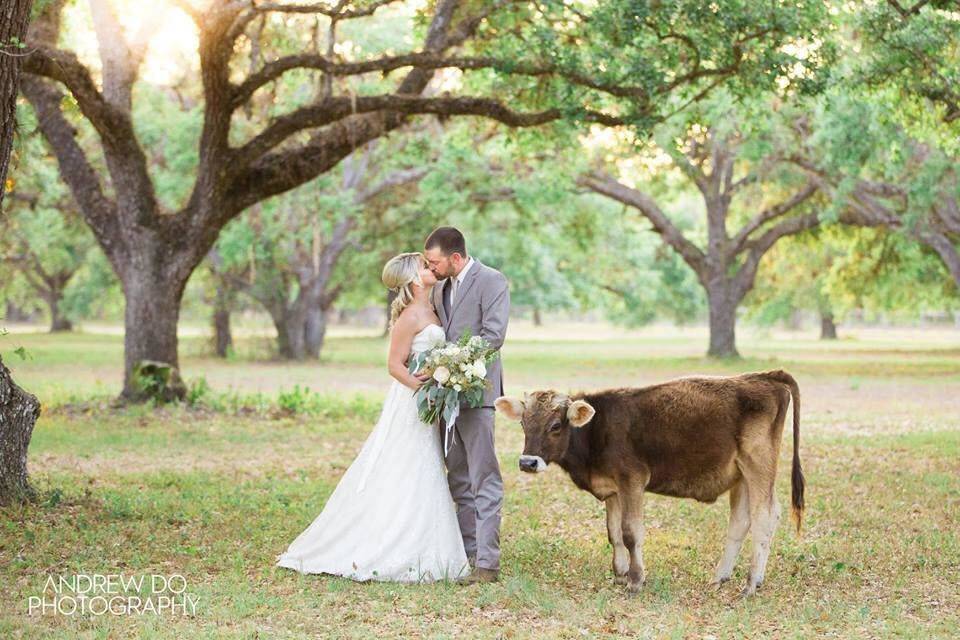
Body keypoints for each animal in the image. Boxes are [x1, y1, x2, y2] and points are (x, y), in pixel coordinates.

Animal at [496, 368, 804, 596]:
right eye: (523, 423)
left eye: (556, 426)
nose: (527, 463)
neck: (597, 430)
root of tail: (762, 376)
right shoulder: (613, 490)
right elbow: (614, 533)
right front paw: (620, 574)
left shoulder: (632, 480)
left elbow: (631, 532)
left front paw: (635, 580)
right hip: (740, 474)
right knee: (740, 522)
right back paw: (720, 577)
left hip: (758, 465)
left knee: (765, 516)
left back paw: (751, 584)